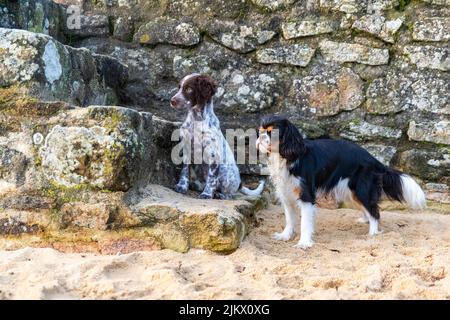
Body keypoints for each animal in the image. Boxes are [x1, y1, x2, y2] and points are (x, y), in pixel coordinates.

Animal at [256, 114, 426, 248]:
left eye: (272, 133)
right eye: (261, 131)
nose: (260, 138)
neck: (285, 157)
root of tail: (374, 160)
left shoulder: (306, 195)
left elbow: (305, 223)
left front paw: (304, 243)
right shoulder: (286, 193)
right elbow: (290, 219)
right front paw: (285, 236)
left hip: (361, 189)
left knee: (375, 212)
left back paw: (372, 233)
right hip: (352, 192)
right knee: (368, 209)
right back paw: (364, 221)